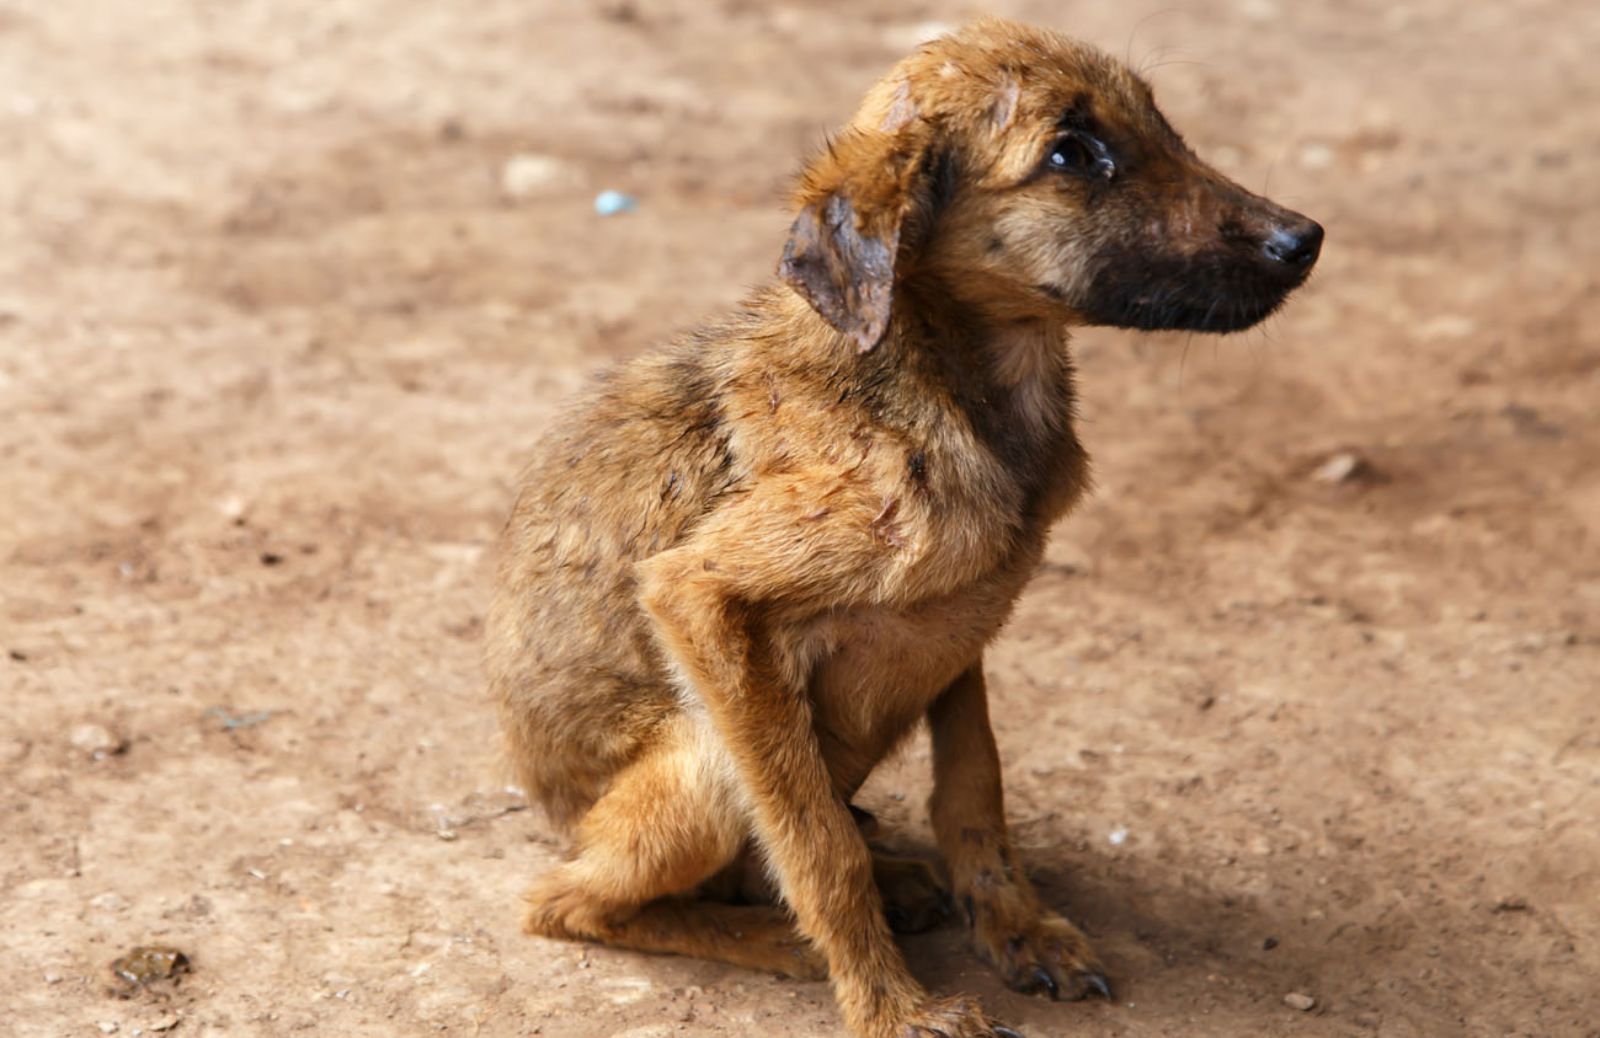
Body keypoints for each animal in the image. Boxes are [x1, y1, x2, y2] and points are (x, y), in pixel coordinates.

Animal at [480, 16, 1318, 1036]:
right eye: (1072, 154)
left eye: (1162, 124)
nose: (1306, 238)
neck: (945, 380)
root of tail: (552, 810)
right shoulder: (699, 595)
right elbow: (816, 849)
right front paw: (888, 1005)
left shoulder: (965, 629)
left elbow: (974, 788)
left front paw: (1015, 927)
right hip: (703, 751)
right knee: (568, 903)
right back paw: (781, 938)